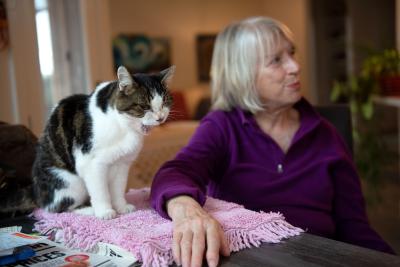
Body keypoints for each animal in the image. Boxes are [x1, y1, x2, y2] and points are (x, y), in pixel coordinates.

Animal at [0, 65, 175, 220]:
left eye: (165, 102)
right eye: (144, 106)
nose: (160, 118)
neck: (123, 126)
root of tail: (36, 191)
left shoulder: (122, 164)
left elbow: (118, 189)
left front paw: (121, 207)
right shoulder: (91, 164)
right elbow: (100, 191)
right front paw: (105, 211)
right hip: (70, 183)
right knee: (58, 208)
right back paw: (90, 210)